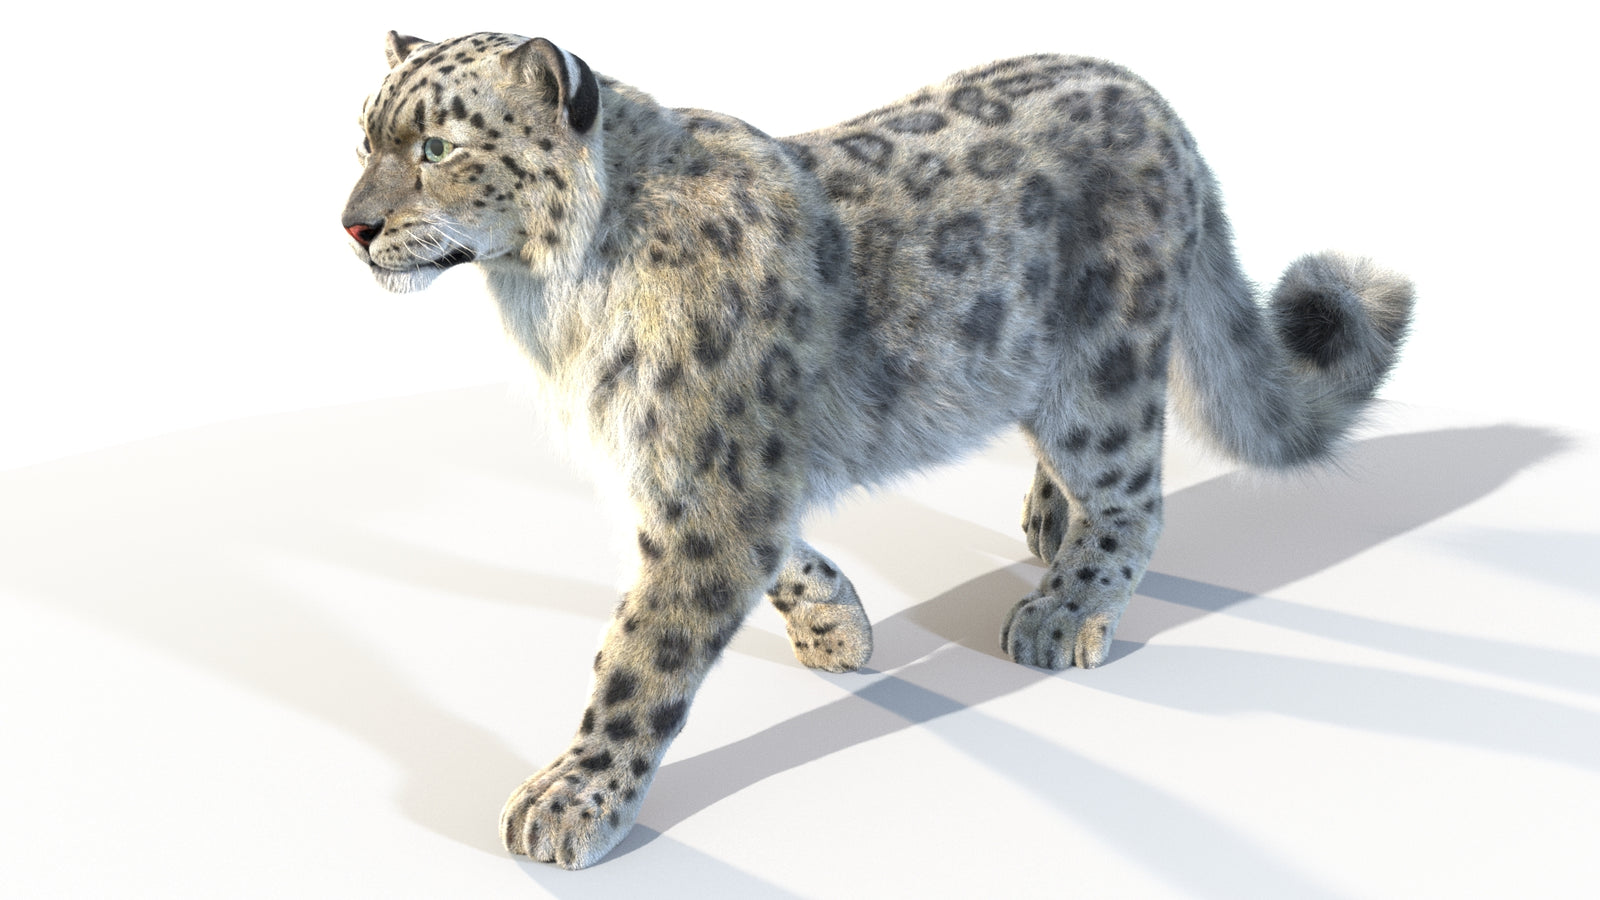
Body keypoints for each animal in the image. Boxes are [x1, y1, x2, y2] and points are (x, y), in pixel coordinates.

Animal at [341, 31, 1413, 869]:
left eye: (436, 146)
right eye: (362, 137)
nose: (353, 225)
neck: (547, 306)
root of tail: (1155, 101)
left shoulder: (713, 484)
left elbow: (643, 652)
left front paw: (571, 800)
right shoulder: (677, 476)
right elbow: (779, 560)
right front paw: (837, 630)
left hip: (1099, 372)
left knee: (1131, 494)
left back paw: (1063, 609)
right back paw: (1044, 523)